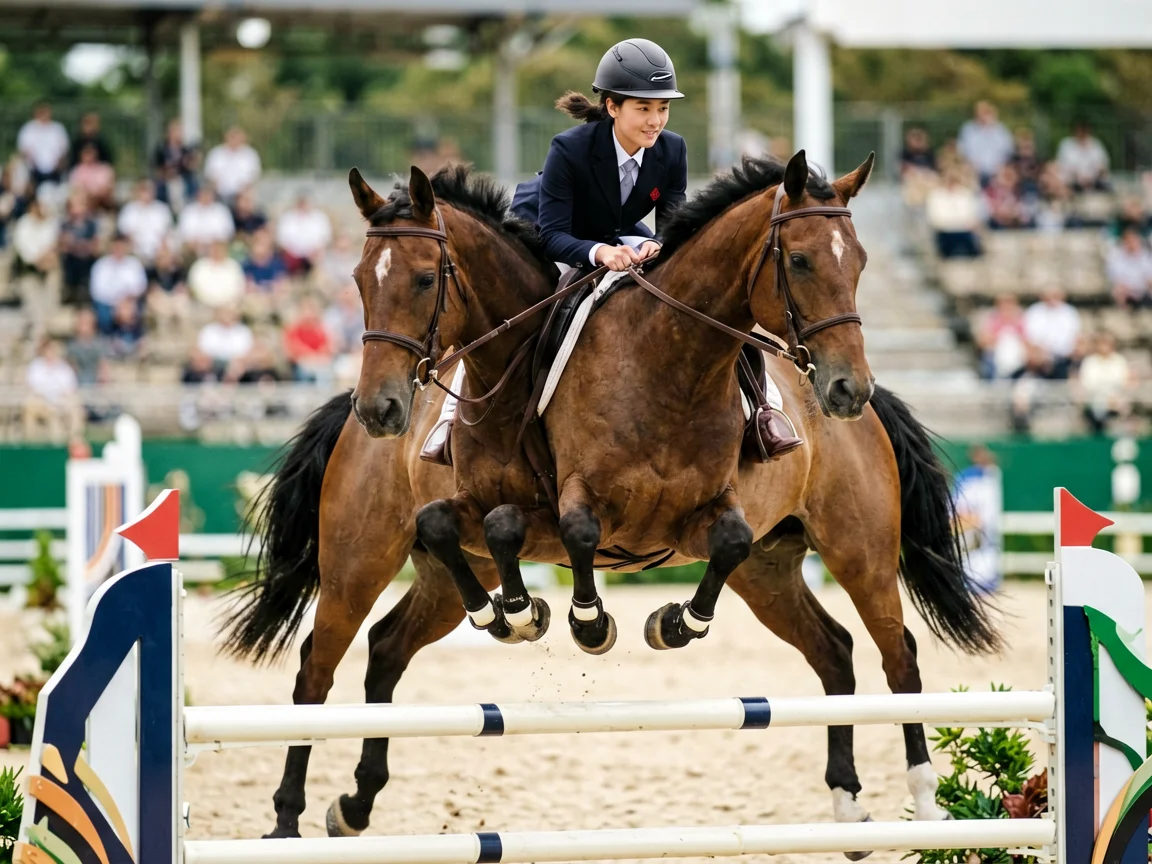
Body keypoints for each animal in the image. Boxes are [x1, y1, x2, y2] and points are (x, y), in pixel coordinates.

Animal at [222, 158, 999, 849]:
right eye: (800, 261)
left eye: (857, 260)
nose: (845, 389)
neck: (671, 360)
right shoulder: (540, 508)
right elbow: (546, 528)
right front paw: (558, 619)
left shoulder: (712, 517)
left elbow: (712, 542)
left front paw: (661, 622)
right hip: (361, 560)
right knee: (325, 665)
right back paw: (296, 818)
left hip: (844, 551)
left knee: (885, 653)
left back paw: (911, 804)